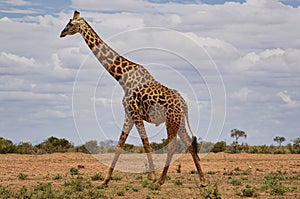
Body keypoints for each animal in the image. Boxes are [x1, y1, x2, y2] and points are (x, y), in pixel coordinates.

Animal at [60, 10, 206, 186]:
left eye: (70, 24)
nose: (61, 33)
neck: (121, 77)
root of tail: (184, 104)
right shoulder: (128, 115)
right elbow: (119, 145)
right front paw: (105, 180)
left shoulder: (135, 114)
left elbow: (146, 144)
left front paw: (153, 177)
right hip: (179, 121)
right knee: (189, 144)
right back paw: (203, 181)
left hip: (171, 120)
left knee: (173, 147)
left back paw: (161, 180)